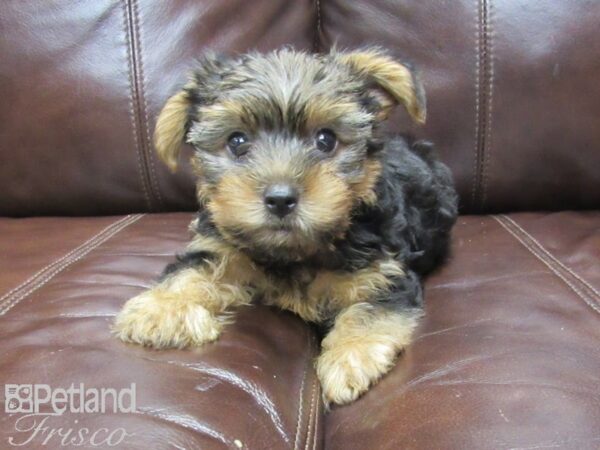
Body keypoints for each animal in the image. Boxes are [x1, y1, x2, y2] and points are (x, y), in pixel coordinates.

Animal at [113, 47, 460, 406]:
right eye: (237, 141)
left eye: (326, 139)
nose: (280, 199)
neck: (296, 251)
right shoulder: (223, 246)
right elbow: (193, 268)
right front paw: (162, 309)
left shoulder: (384, 273)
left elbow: (370, 310)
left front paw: (348, 358)